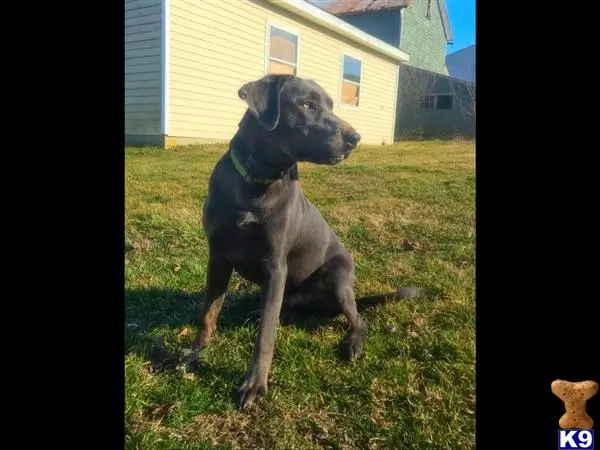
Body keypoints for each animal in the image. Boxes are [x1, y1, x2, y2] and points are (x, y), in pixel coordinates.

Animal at [192, 74, 422, 412]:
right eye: (305, 105)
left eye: (329, 105)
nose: (355, 138)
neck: (257, 180)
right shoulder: (218, 257)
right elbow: (209, 310)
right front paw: (194, 351)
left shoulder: (275, 266)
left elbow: (265, 336)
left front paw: (254, 385)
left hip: (338, 277)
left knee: (359, 320)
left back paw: (352, 343)